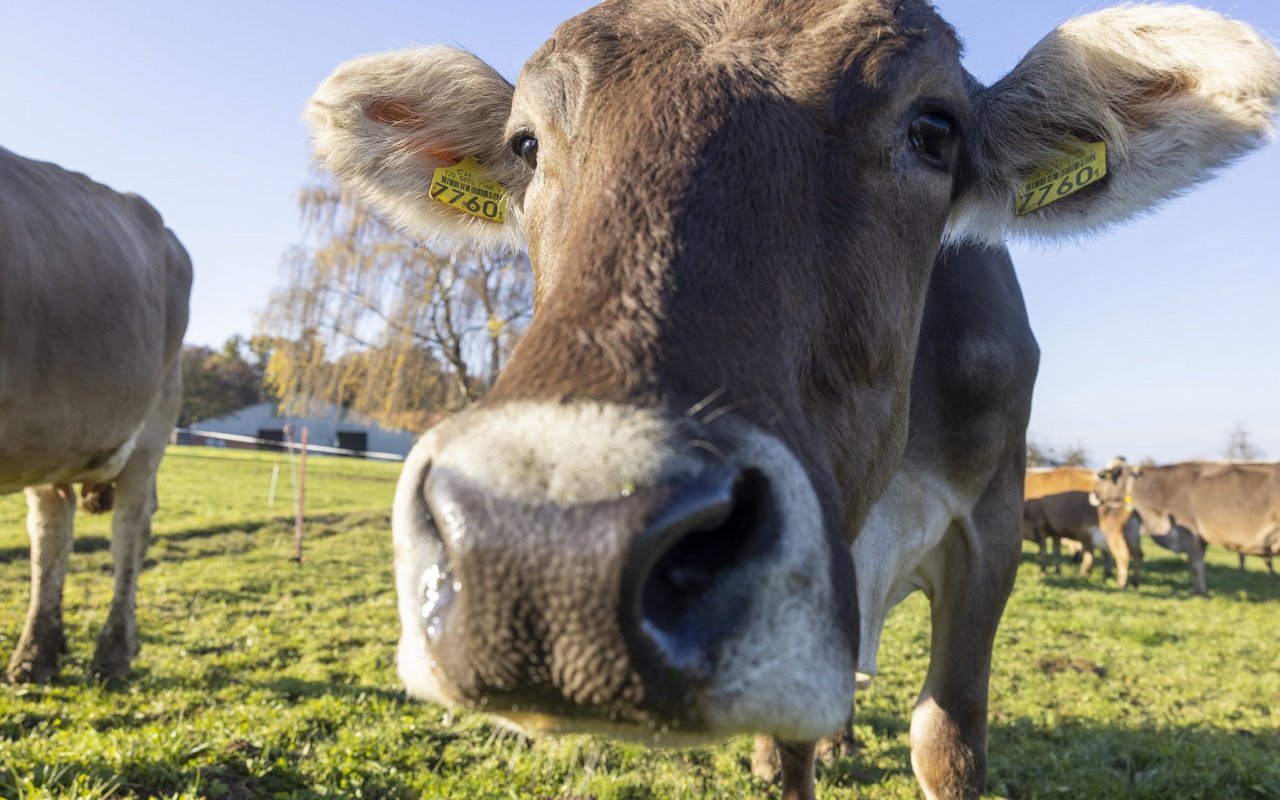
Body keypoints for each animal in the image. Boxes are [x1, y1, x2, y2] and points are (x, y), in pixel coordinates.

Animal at [1090, 455, 1280, 593]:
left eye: (1103, 476)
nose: (1092, 495)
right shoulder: (1200, 540)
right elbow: (1198, 565)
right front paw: (1200, 590)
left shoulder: (1190, 534)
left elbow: (1195, 566)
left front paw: (1199, 593)